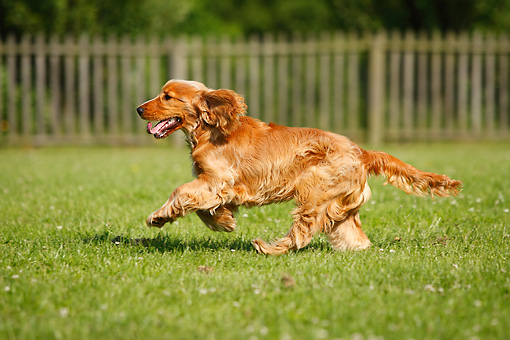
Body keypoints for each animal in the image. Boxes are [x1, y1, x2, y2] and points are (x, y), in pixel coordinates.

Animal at [136, 79, 462, 255]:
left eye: (167, 97)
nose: (139, 108)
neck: (211, 129)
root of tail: (363, 152)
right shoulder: (216, 186)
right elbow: (205, 208)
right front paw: (225, 221)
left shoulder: (217, 181)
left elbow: (181, 192)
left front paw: (159, 217)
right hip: (339, 206)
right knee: (356, 238)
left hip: (313, 190)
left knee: (302, 233)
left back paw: (267, 248)